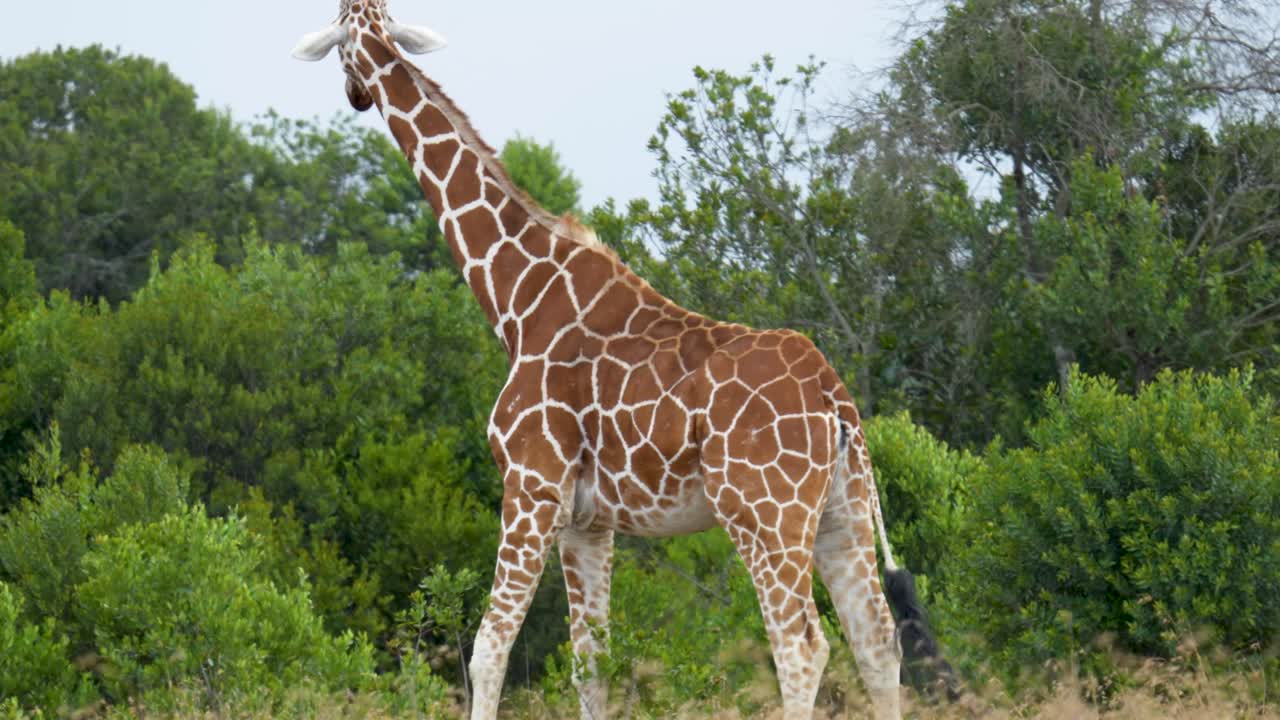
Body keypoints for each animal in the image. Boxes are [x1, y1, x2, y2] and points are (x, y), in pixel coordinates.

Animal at [293, 3, 953, 718]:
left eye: (340, 37)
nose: (357, 96)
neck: (517, 299)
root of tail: (834, 398)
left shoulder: (531, 487)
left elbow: (490, 647)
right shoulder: (589, 521)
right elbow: (591, 664)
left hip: (763, 512)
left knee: (801, 646)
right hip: (842, 510)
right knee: (877, 640)